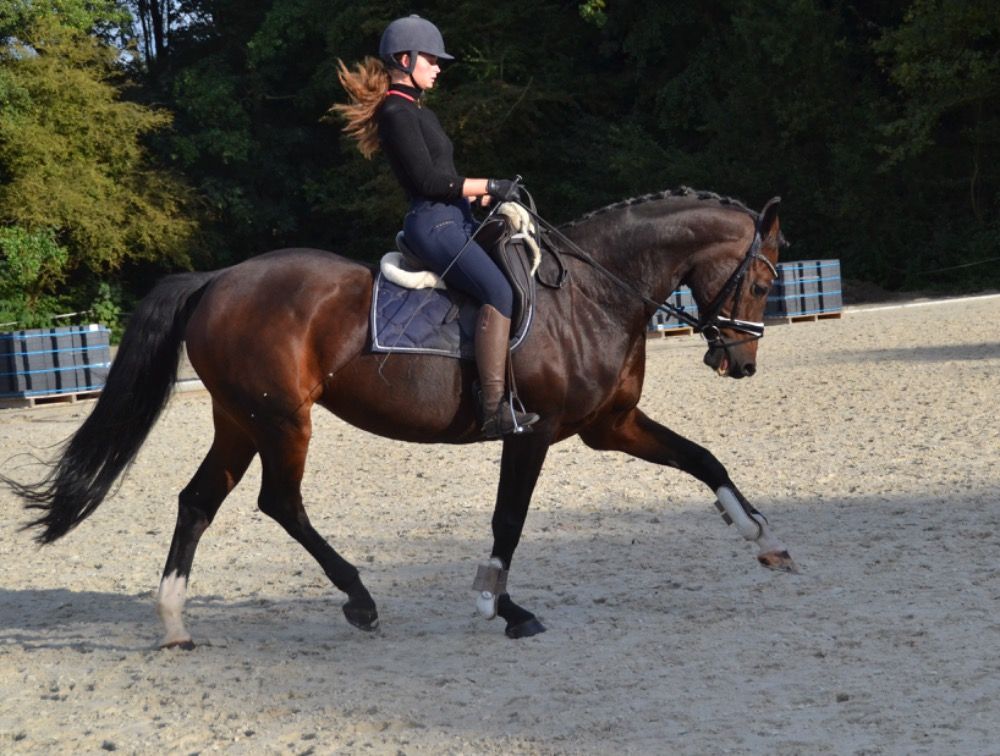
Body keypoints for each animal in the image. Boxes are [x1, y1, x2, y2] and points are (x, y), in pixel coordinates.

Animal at [5, 187, 796, 647]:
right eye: (763, 280)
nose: (741, 364)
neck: (589, 294)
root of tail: (218, 279)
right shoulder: (533, 433)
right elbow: (509, 520)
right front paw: (499, 605)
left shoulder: (611, 425)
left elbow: (701, 457)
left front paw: (760, 534)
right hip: (282, 422)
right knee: (279, 502)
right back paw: (359, 599)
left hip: (239, 421)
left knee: (198, 501)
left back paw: (174, 620)